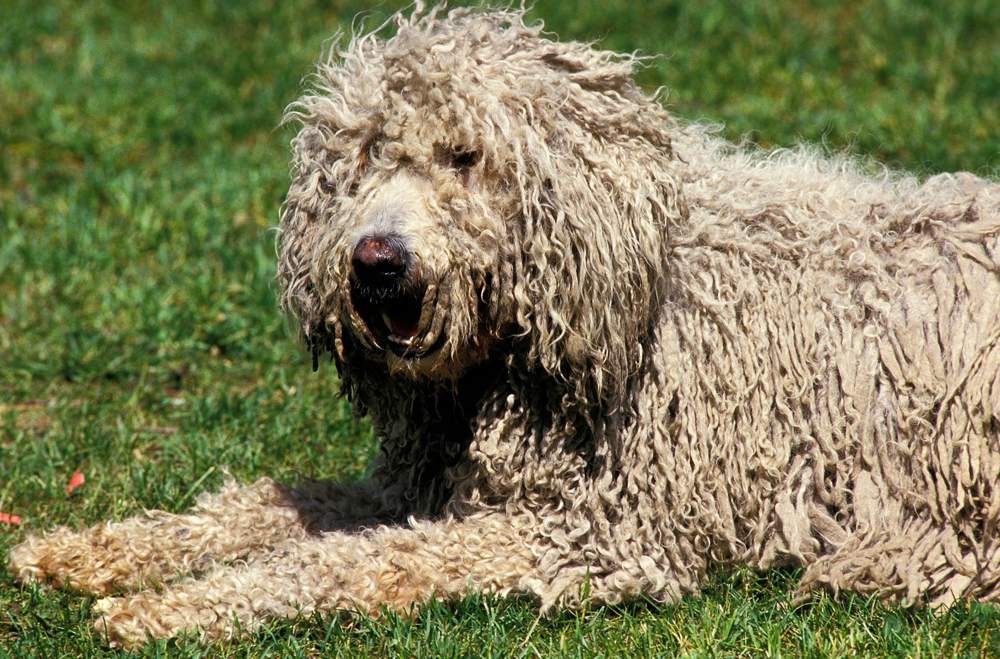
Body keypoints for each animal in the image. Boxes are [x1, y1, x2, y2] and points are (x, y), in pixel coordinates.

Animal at [7, 2, 1000, 648]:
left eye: (464, 157)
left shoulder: (593, 532)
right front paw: (89, 551)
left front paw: (167, 607)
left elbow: (349, 563)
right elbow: (254, 507)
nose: (376, 261)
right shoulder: (412, 485)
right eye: (365, 157)